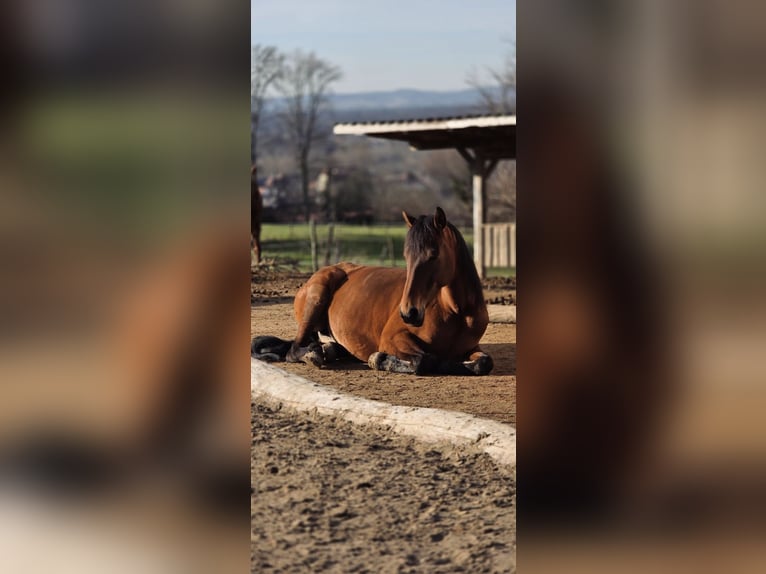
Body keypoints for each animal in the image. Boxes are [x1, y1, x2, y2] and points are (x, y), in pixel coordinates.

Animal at [252, 207, 493, 375]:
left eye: (434, 255)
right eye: (406, 256)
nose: (409, 313)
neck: (456, 312)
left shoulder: (472, 346)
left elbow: (484, 362)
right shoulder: (393, 338)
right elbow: (426, 360)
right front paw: (379, 359)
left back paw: (326, 350)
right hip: (316, 298)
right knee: (294, 349)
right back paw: (314, 353)